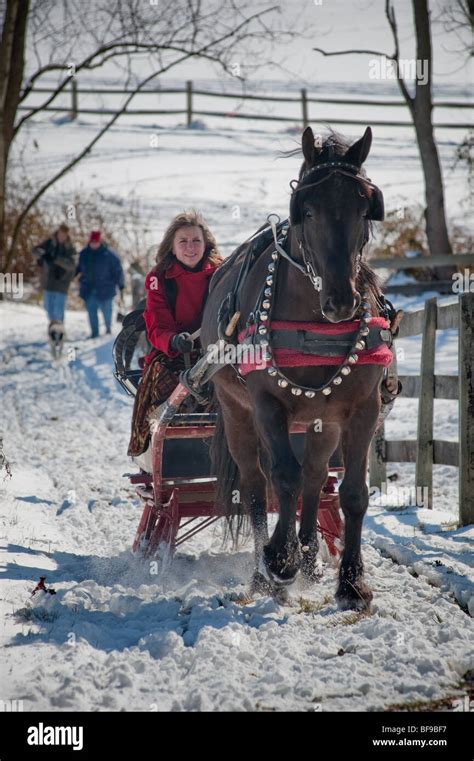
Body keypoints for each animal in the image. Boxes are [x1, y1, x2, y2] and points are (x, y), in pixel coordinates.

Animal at [199, 126, 388, 612]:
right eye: (307, 209)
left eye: (364, 207)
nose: (342, 301)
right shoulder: (266, 403)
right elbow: (281, 476)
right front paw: (279, 561)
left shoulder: (363, 408)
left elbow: (352, 493)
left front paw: (351, 582)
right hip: (237, 411)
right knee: (254, 485)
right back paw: (264, 574)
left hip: (323, 420)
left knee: (315, 477)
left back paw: (307, 557)